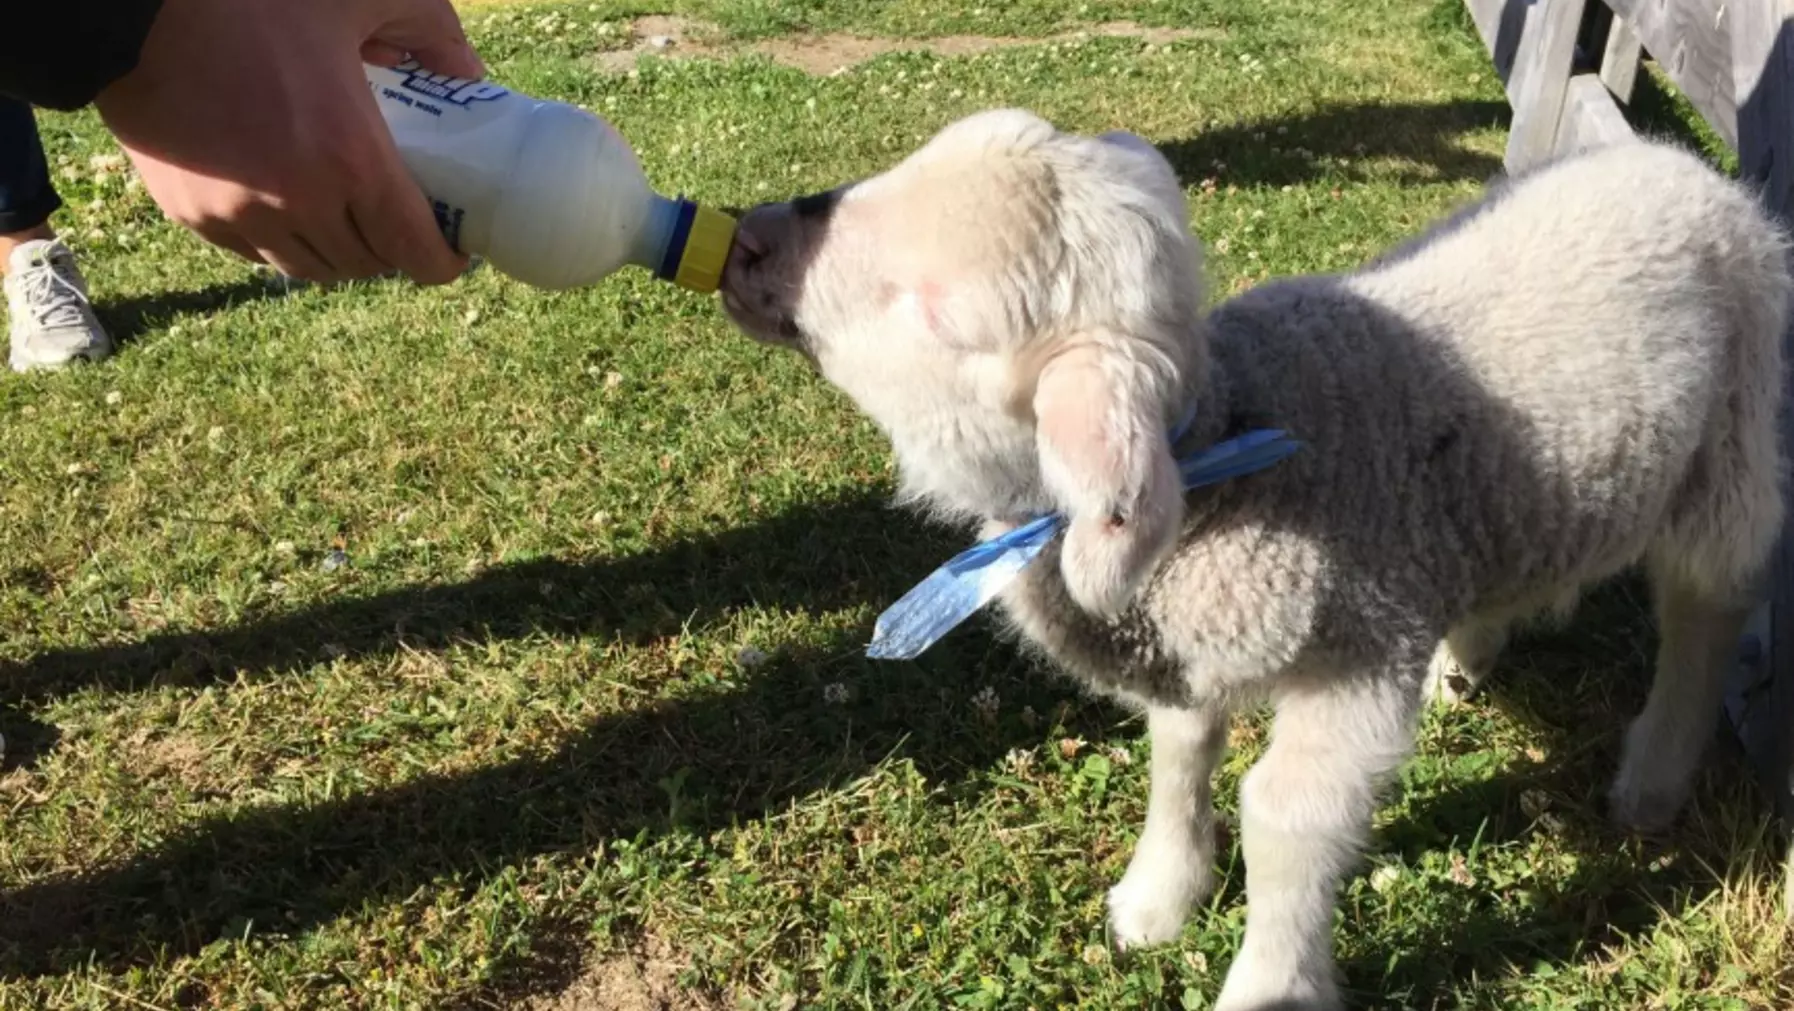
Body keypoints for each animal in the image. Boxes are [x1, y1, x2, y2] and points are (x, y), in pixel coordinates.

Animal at [714, 106, 1794, 1003]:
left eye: (937, 311)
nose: (749, 240)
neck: (1227, 449)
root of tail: (1672, 158)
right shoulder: (1192, 652)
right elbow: (1178, 755)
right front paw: (1156, 899)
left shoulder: (1358, 661)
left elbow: (1284, 819)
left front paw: (1272, 981)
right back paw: (1469, 657)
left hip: (1732, 444)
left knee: (1707, 609)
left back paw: (1652, 780)